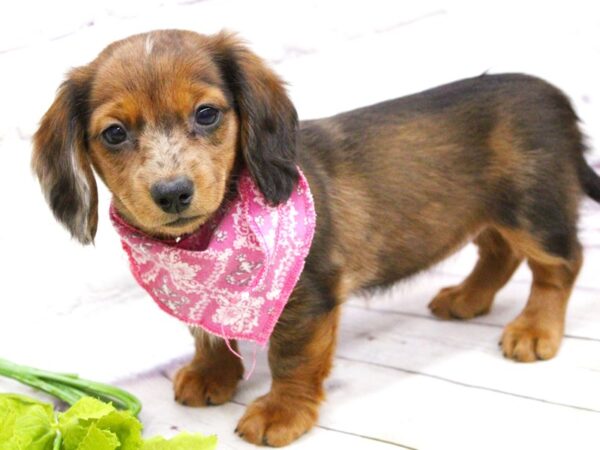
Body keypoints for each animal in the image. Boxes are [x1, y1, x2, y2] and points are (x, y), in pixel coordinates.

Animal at [31, 29, 600, 444]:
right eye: (115, 133)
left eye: (207, 113)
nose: (172, 193)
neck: (207, 242)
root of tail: (557, 97)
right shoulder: (202, 298)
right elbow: (207, 331)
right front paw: (212, 374)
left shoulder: (309, 297)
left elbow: (292, 359)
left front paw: (281, 413)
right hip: (490, 215)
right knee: (499, 254)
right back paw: (468, 297)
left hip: (535, 208)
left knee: (561, 264)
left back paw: (535, 330)